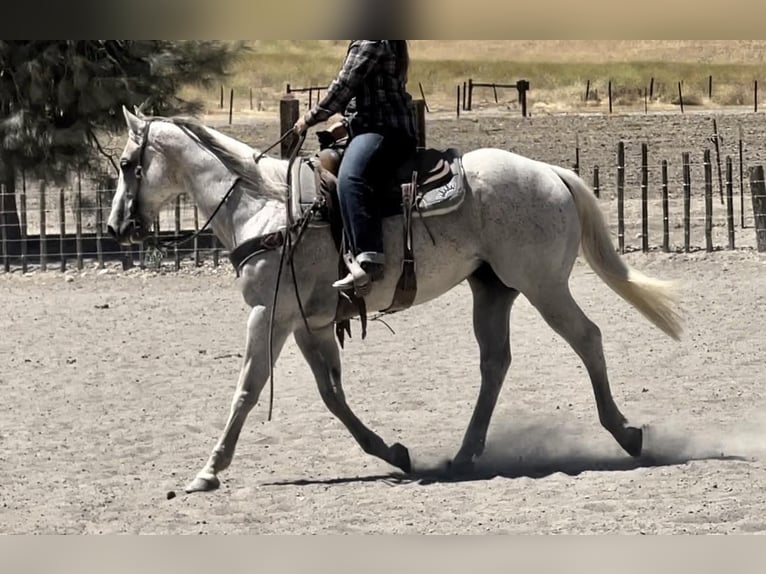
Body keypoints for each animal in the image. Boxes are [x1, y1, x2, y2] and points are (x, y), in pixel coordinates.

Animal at [106, 108, 684, 496]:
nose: (115, 228)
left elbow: (247, 390)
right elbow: (333, 395)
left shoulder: (269, 314)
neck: (263, 205)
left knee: (587, 337)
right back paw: (464, 454)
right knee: (495, 363)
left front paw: (208, 470)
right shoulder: (310, 323)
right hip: (493, 290)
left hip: (544, 286)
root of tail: (551, 173)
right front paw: (394, 453)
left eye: (130, 163)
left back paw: (626, 433)